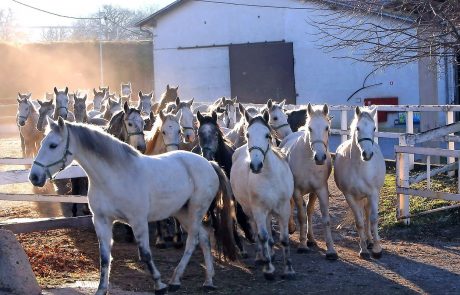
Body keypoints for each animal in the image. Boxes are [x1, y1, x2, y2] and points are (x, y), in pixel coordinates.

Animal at [29, 118, 237, 295]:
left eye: (53, 145)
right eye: (42, 143)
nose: (34, 177)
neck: (114, 176)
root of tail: (209, 163)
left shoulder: (138, 221)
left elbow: (145, 254)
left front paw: (159, 285)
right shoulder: (101, 221)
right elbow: (104, 257)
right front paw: (101, 289)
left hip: (195, 210)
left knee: (193, 240)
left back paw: (176, 280)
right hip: (182, 212)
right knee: (204, 238)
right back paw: (207, 281)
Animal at [230, 110, 294, 280]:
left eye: (267, 135)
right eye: (248, 135)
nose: (256, 165)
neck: (270, 177)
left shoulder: (284, 209)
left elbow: (284, 239)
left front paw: (289, 269)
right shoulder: (258, 209)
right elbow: (262, 236)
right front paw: (269, 269)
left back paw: (270, 253)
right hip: (250, 209)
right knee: (256, 230)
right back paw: (261, 256)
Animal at [278, 103, 336, 260]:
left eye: (327, 128)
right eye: (310, 128)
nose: (320, 157)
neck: (308, 160)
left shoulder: (320, 189)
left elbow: (324, 218)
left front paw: (331, 250)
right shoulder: (297, 191)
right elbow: (302, 216)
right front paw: (302, 245)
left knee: (309, 210)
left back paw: (311, 238)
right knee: (291, 206)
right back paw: (291, 228)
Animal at [334, 107, 384, 260]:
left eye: (374, 128)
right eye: (358, 128)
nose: (367, 154)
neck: (360, 167)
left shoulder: (373, 194)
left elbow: (373, 219)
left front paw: (377, 248)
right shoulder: (350, 196)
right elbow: (359, 222)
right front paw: (363, 250)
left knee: (368, 214)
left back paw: (370, 240)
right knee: (363, 215)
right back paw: (367, 241)